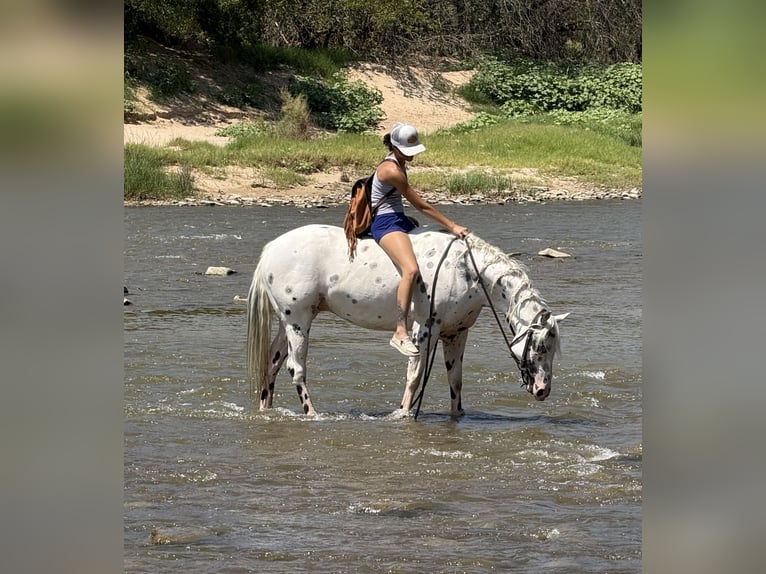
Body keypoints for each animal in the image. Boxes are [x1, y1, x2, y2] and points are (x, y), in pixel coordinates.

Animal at [246, 224, 568, 416]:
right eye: (540, 347)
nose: (543, 390)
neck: (465, 270)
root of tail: (272, 249)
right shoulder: (425, 331)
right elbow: (414, 376)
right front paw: (403, 413)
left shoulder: (456, 333)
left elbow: (456, 380)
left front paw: (457, 417)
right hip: (298, 322)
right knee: (296, 368)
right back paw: (312, 413)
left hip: (287, 322)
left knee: (272, 363)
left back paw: (266, 410)